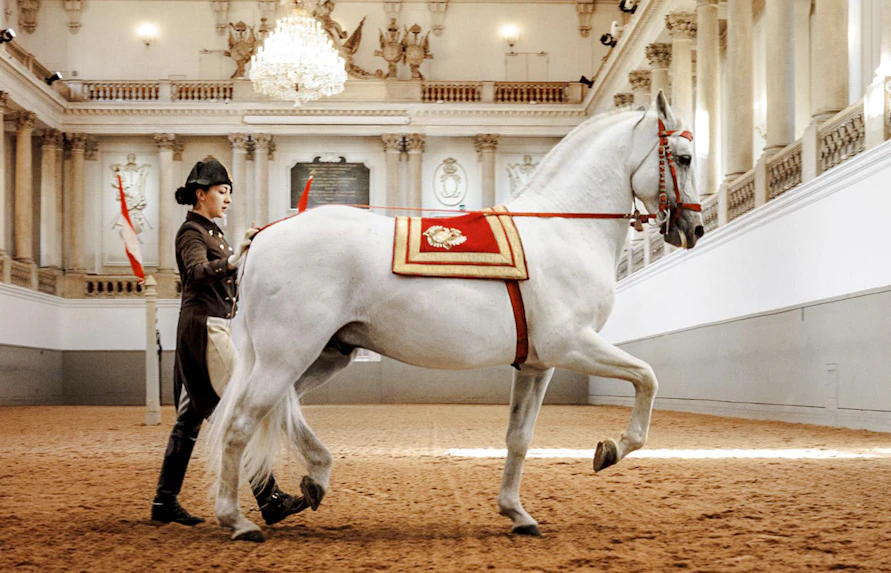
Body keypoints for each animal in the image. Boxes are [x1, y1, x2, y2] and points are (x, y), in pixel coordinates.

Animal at [206, 91, 704, 542]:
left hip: (326, 355)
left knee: (280, 410)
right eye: (683, 158)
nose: (694, 228)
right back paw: (238, 520)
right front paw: (611, 450)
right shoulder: (573, 344)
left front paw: (516, 512)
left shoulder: (537, 365)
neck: (563, 228)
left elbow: (519, 437)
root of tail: (265, 234)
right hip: (286, 356)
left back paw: (312, 479)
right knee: (239, 424)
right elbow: (647, 377)